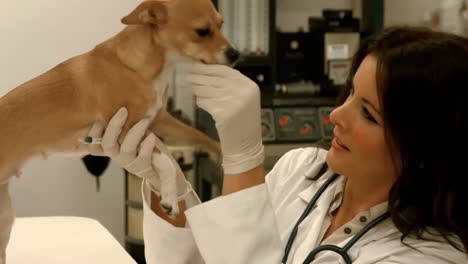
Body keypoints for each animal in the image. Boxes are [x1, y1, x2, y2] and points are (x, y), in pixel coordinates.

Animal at [0, 0, 239, 260]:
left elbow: (197, 135)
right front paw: (169, 198)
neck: (140, 68)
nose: (236, 54)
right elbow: (165, 161)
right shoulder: (126, 131)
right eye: (202, 31)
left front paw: (222, 153)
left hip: (5, 221)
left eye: (221, 25)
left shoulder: (158, 121)